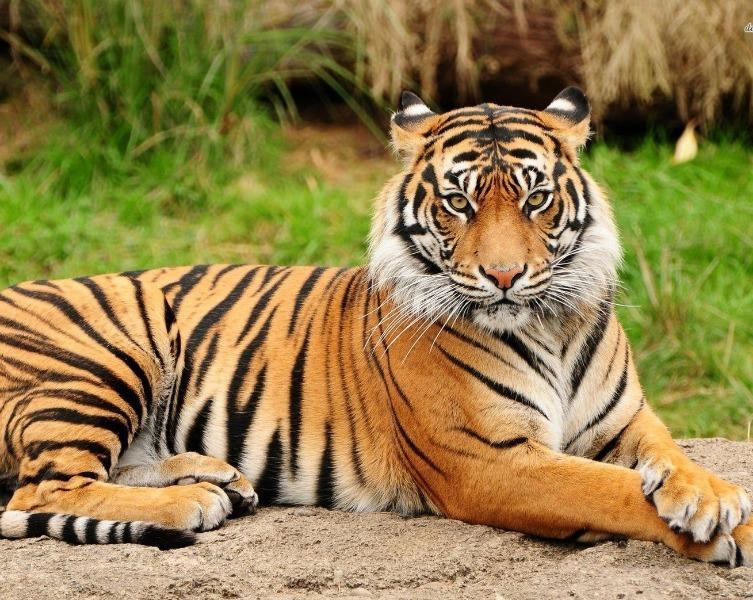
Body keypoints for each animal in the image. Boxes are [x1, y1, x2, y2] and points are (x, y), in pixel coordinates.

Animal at [0, 87, 751, 563]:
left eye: (535, 198)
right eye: (458, 203)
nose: (504, 276)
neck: (550, 326)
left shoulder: (627, 422)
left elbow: (673, 457)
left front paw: (707, 495)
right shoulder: (490, 460)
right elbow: (606, 489)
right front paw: (720, 531)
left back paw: (217, 477)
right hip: (105, 359)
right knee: (49, 483)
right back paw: (193, 504)